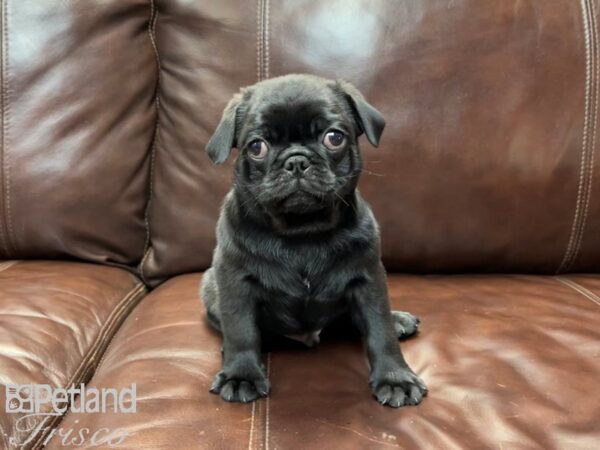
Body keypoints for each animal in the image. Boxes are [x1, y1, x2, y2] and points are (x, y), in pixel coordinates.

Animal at [202, 74, 426, 408]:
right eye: (256, 146)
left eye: (334, 138)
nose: (296, 161)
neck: (302, 232)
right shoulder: (235, 281)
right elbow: (241, 329)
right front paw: (241, 374)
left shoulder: (369, 280)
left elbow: (378, 328)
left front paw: (395, 378)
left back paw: (398, 320)